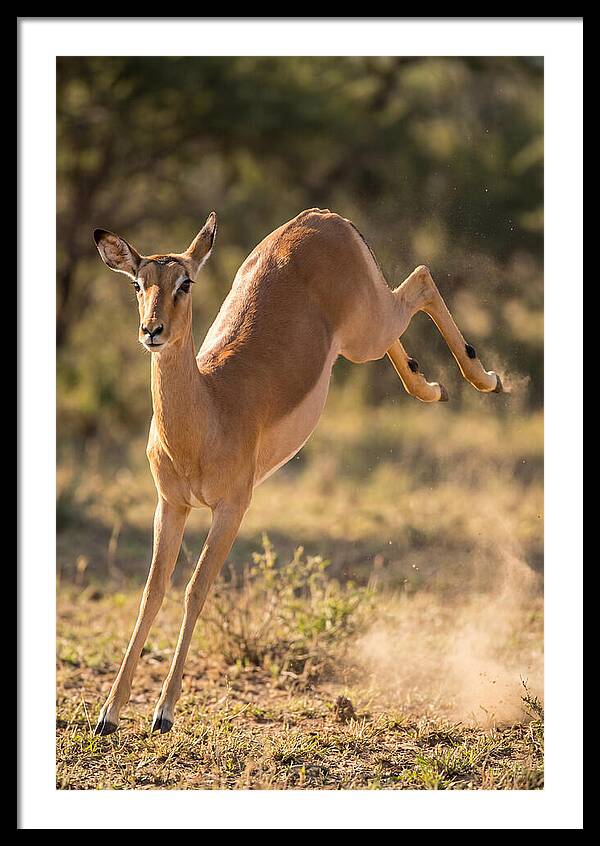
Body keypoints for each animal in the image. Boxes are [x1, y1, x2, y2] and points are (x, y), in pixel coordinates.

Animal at [92, 208, 503, 736]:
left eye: (185, 282)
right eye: (138, 283)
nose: (152, 331)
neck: (208, 410)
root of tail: (323, 217)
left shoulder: (232, 508)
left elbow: (195, 589)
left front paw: (163, 712)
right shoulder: (171, 504)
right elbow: (151, 593)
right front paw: (108, 713)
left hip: (366, 330)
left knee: (422, 279)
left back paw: (485, 379)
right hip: (362, 335)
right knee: (408, 309)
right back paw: (432, 387)